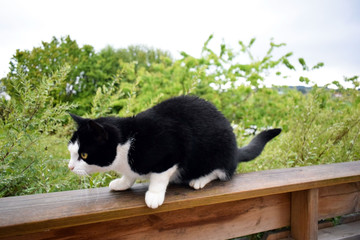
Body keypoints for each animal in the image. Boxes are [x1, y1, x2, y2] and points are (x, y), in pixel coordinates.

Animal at [67, 95, 282, 208]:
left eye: (84, 155)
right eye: (71, 151)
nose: (69, 167)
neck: (127, 146)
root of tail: (235, 150)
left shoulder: (172, 152)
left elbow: (159, 177)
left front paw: (154, 195)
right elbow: (130, 176)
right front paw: (123, 183)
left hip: (217, 151)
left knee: (221, 172)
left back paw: (199, 179)